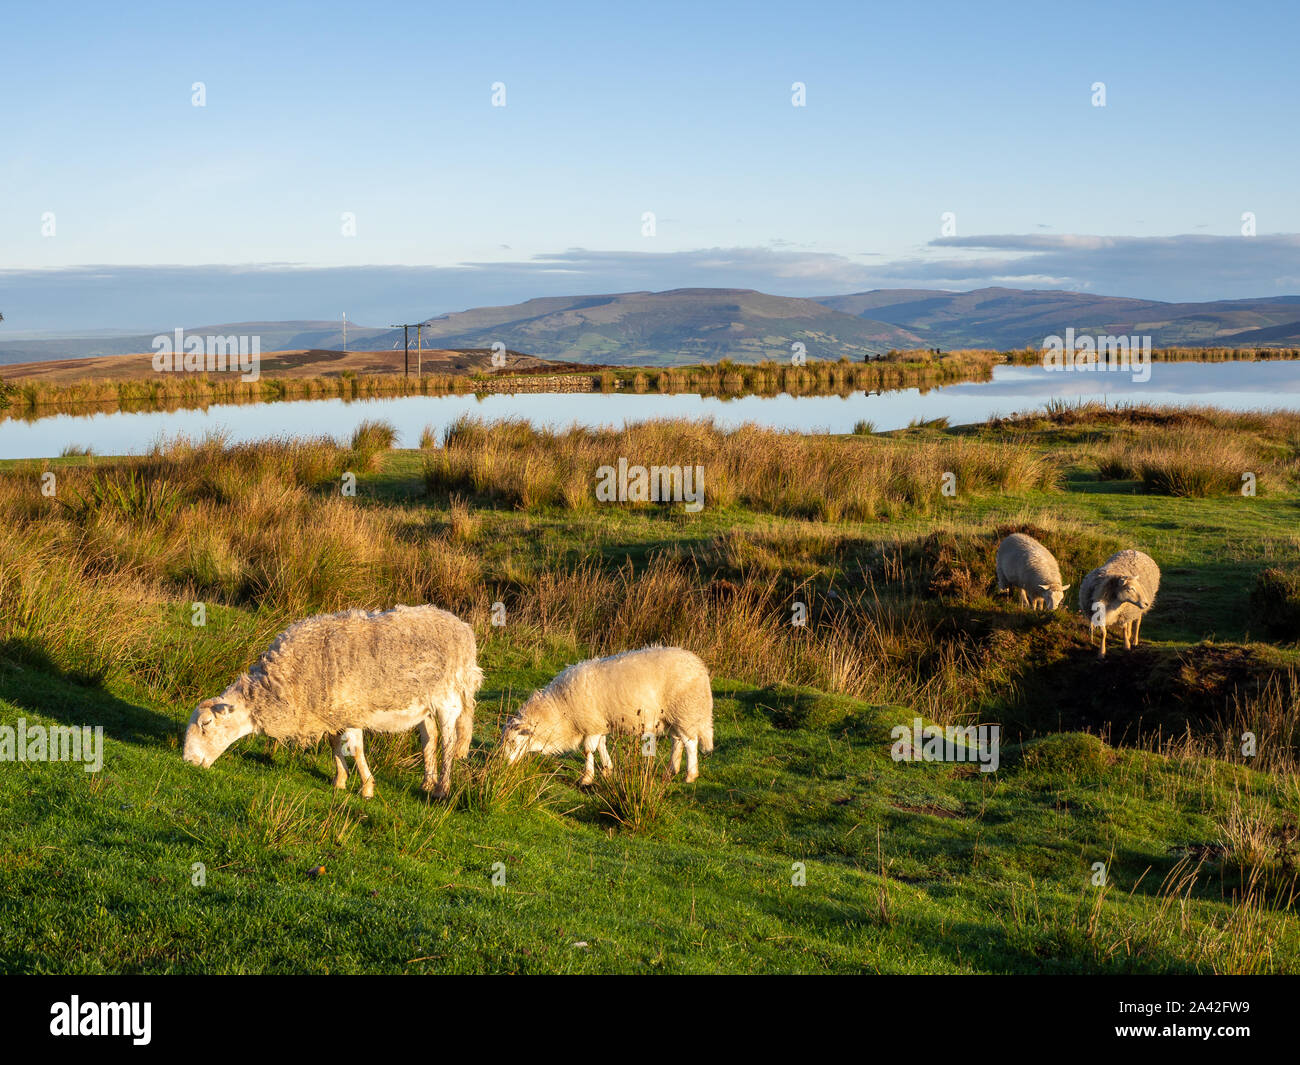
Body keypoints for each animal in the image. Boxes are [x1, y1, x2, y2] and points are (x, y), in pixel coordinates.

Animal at [182, 608, 483, 801]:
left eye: (206, 724)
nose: (187, 762)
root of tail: (462, 627)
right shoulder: (331, 713)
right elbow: (334, 744)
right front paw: (340, 781)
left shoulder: (351, 711)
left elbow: (357, 749)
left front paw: (367, 788)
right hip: (424, 704)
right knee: (429, 739)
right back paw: (427, 782)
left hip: (448, 699)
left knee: (448, 741)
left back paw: (442, 789)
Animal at [501, 642, 717, 785]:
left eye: (514, 742)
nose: (503, 764)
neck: (559, 708)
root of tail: (699, 666)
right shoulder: (599, 723)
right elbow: (602, 746)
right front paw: (607, 769)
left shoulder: (590, 724)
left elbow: (588, 750)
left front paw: (587, 778)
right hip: (673, 716)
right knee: (677, 741)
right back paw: (671, 770)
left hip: (687, 710)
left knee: (690, 743)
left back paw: (690, 775)